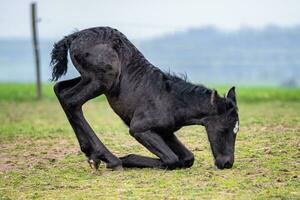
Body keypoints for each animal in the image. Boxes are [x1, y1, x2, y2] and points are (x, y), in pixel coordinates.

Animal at [51, 26, 239, 170]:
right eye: (225, 129)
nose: (227, 163)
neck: (172, 100)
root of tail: (74, 37)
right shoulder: (139, 129)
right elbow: (171, 159)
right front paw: (125, 159)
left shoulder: (166, 132)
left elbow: (187, 158)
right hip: (102, 80)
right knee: (71, 101)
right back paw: (110, 159)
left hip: (89, 78)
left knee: (60, 89)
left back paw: (91, 153)